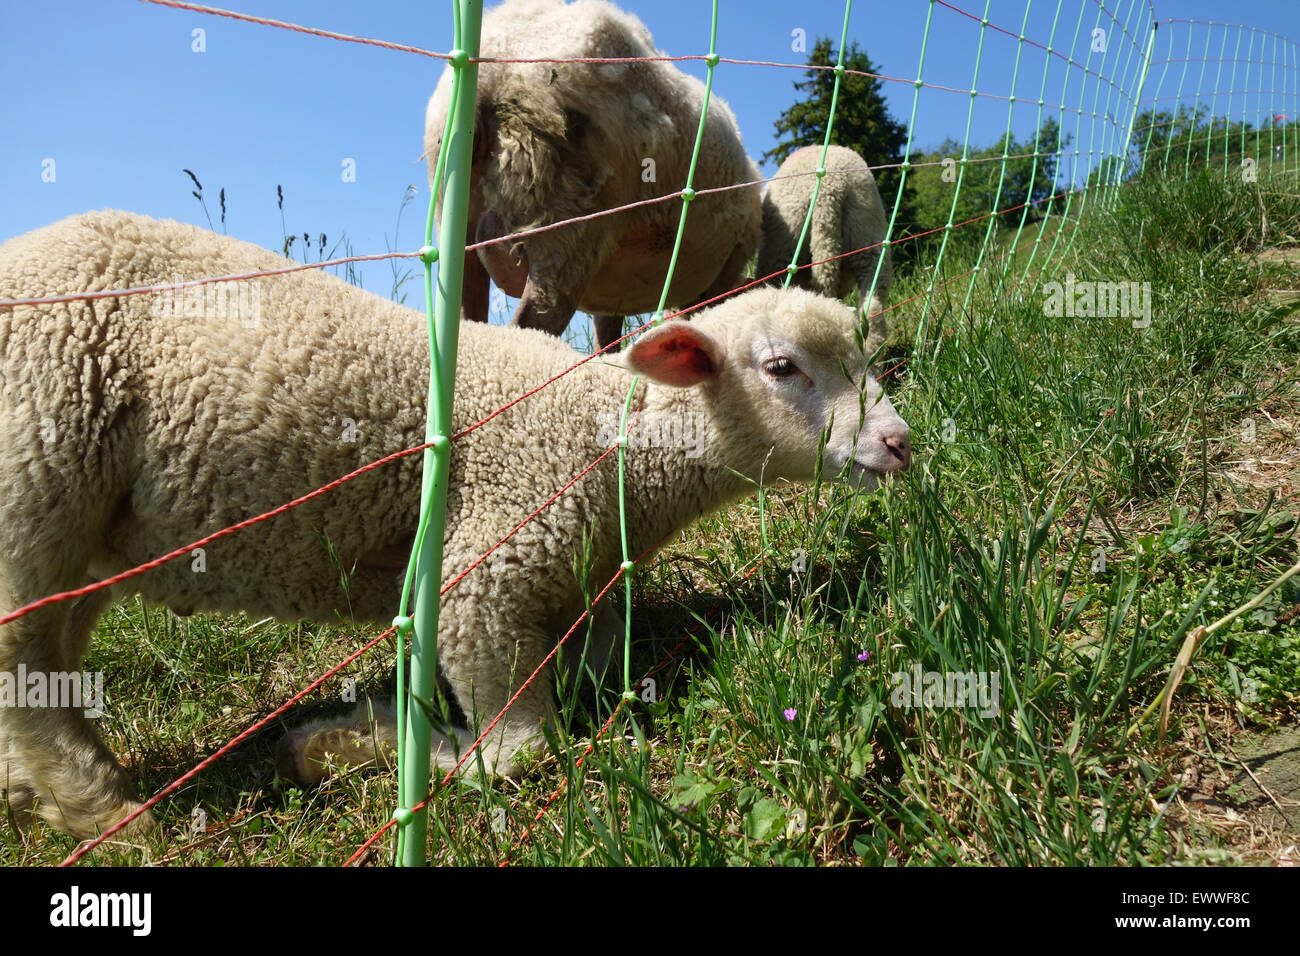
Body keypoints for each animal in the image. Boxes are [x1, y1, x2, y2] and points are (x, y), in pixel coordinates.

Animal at [0, 209, 915, 837]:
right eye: (781, 368)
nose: (899, 442)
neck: (609, 445)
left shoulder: (574, 590)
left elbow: (586, 676)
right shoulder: (487, 576)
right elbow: (520, 753)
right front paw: (366, 747)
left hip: (90, 532)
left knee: (53, 657)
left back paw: (35, 788)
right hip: (35, 477)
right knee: (21, 661)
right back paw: (105, 810)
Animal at [426, 0, 759, 351]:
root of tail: (493, 66)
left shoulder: (614, 296)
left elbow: (607, 337)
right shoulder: (720, 276)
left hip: (457, 216)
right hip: (566, 223)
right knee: (531, 326)